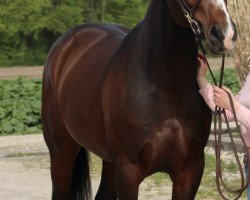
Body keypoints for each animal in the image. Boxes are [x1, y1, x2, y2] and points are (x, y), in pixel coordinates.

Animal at [42, 0, 237, 198]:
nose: (224, 35)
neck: (168, 85)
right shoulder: (128, 171)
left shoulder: (190, 170)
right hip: (61, 152)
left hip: (109, 160)